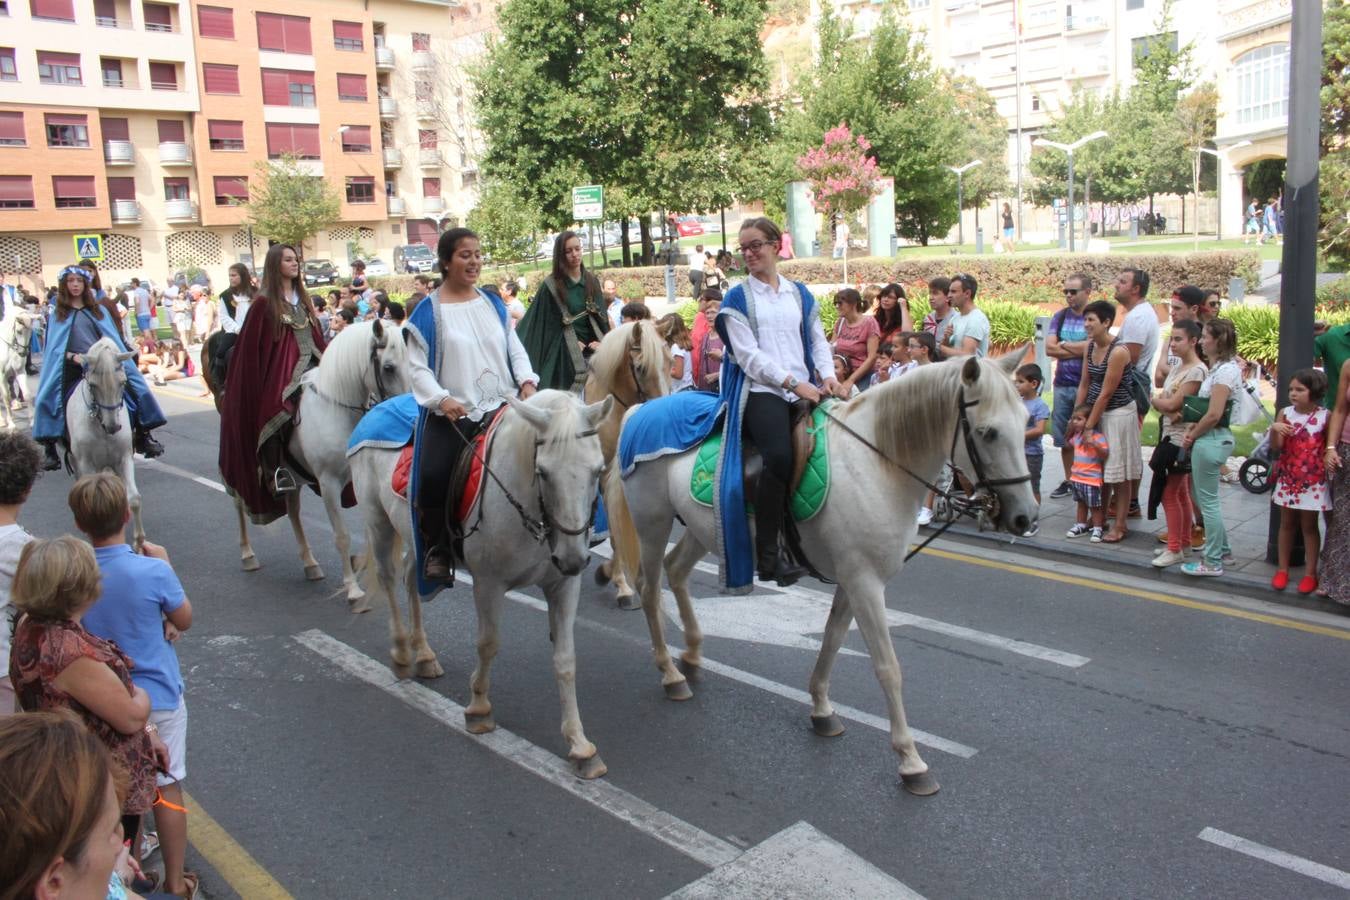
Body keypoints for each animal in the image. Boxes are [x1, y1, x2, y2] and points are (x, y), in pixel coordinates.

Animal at [65, 337, 145, 550]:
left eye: (123, 382)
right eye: (93, 385)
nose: (113, 426)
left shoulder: (124, 458)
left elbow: (133, 498)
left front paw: (139, 541)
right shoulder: (85, 463)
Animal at [221, 319, 413, 609]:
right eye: (389, 367)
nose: (412, 408)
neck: (337, 407)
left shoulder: (358, 482)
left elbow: (370, 531)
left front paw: (362, 565)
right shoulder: (328, 483)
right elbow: (342, 536)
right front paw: (353, 589)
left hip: (293, 477)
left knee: (293, 512)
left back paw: (310, 563)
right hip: (240, 466)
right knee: (239, 503)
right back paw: (247, 554)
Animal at [353, 391, 618, 777]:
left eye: (598, 470)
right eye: (543, 472)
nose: (572, 559)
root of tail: (377, 407)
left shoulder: (564, 587)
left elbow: (566, 659)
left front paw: (580, 746)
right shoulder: (488, 583)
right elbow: (488, 644)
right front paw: (479, 709)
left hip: (416, 535)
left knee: (410, 581)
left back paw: (424, 655)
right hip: (378, 522)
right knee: (388, 579)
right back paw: (401, 653)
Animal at [607, 350, 1036, 793]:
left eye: (1025, 421)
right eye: (988, 432)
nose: (1025, 518)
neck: (878, 464)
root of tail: (643, 409)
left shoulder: (854, 580)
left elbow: (831, 641)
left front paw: (822, 709)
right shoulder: (866, 584)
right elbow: (888, 667)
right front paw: (911, 761)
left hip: (707, 529)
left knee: (676, 572)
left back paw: (692, 654)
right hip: (653, 525)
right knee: (649, 589)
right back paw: (670, 673)